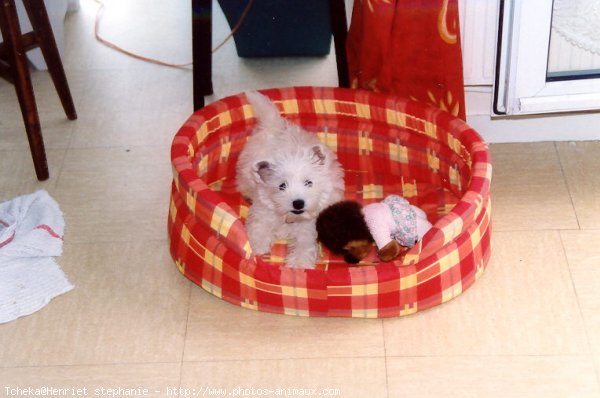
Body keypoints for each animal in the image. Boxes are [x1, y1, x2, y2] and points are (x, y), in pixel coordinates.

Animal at [237, 91, 344, 268]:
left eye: (308, 183)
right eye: (282, 186)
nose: (298, 203)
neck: (289, 218)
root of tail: (275, 125)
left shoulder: (308, 228)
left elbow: (304, 246)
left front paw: (299, 264)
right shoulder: (264, 210)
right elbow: (258, 228)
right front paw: (257, 246)